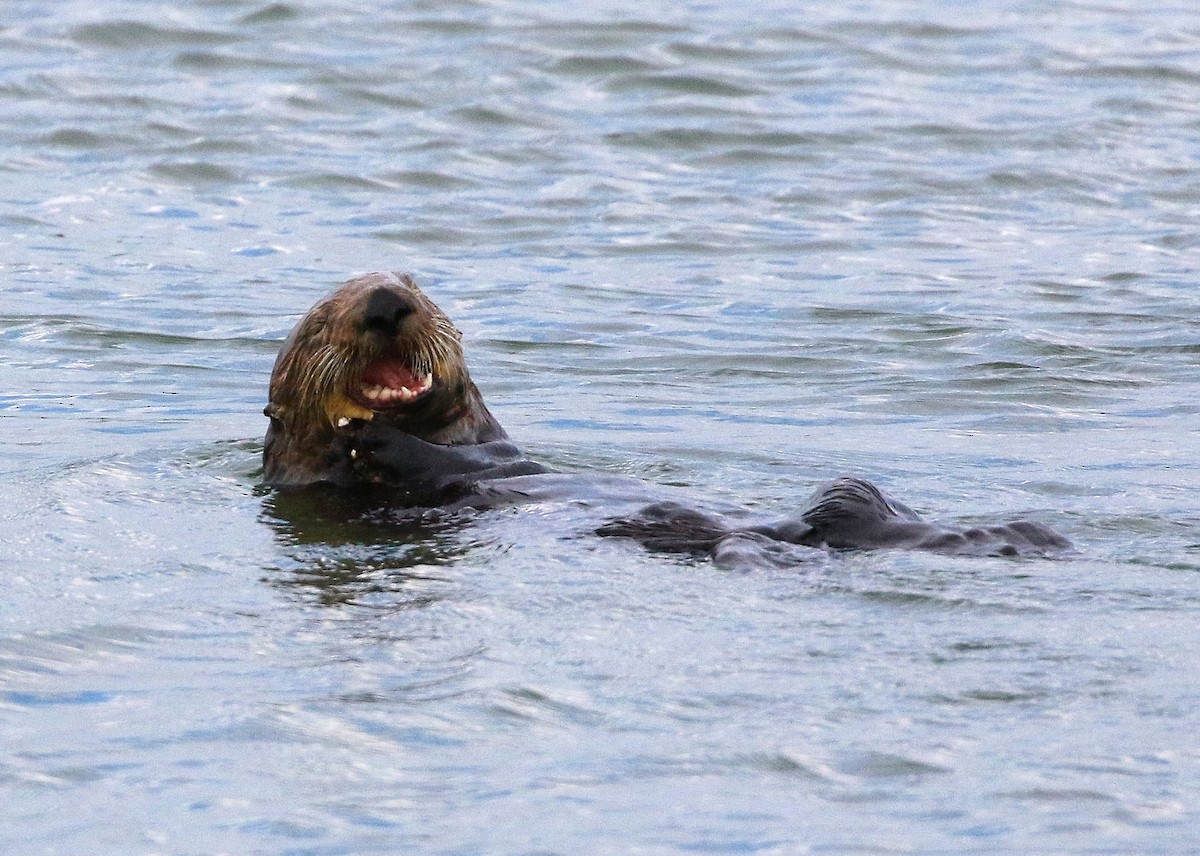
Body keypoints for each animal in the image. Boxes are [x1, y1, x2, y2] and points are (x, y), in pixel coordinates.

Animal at [263, 273, 1071, 562]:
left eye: (414, 284)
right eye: (320, 321)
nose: (385, 301)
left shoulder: (491, 447)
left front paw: (380, 441)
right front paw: (363, 442)